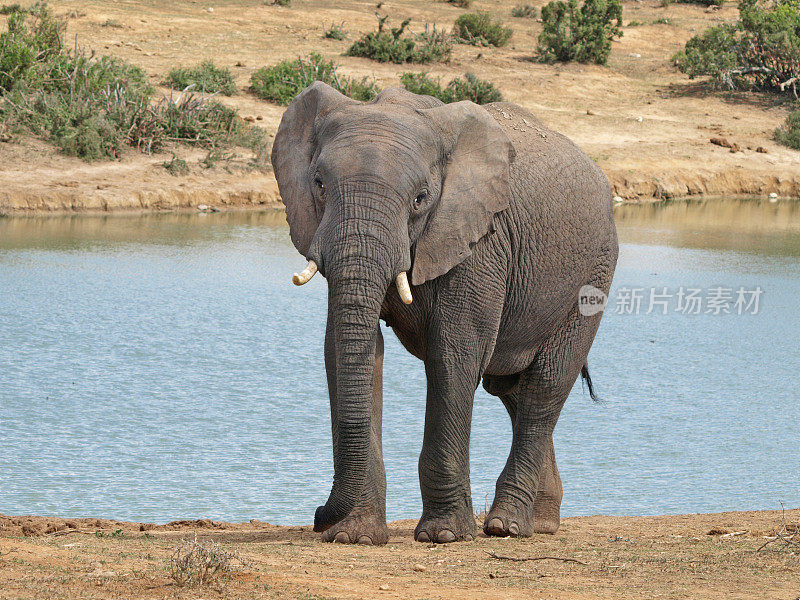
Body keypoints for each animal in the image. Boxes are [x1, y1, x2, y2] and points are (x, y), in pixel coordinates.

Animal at [270, 82, 620, 548]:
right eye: (319, 184)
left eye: (420, 199)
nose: (316, 516)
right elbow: (348, 352)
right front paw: (353, 537)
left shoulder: (480, 242)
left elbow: (452, 357)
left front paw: (444, 536)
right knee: (510, 389)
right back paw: (540, 522)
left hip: (594, 272)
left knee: (544, 387)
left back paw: (507, 526)